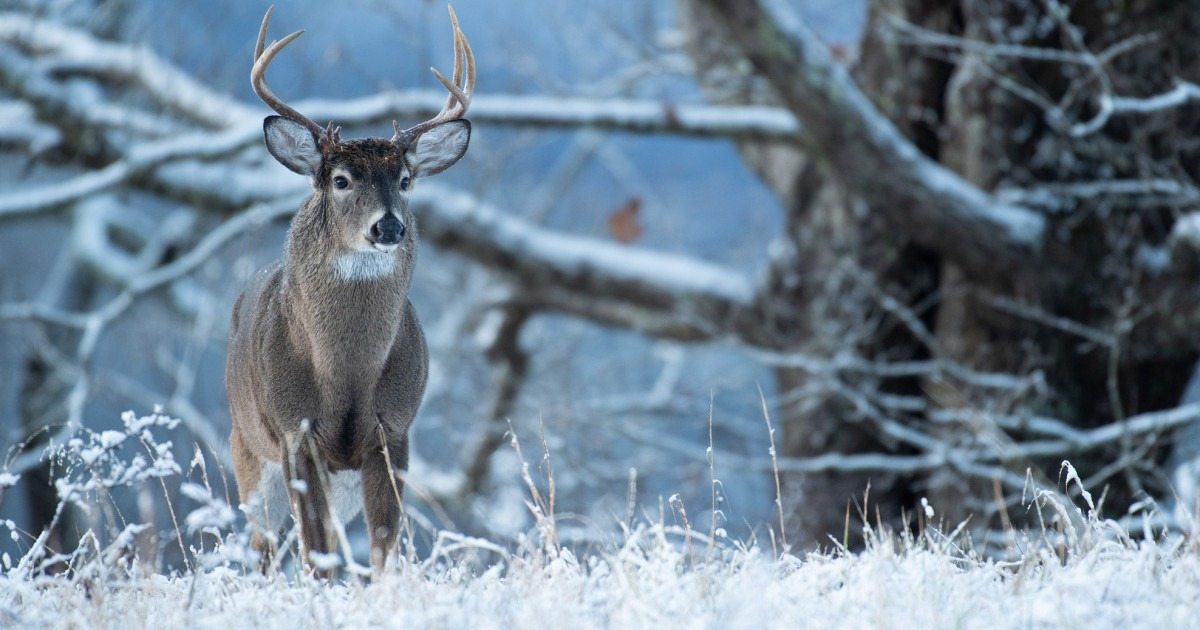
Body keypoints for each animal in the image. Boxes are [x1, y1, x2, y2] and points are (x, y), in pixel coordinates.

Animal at [225, 6, 472, 573]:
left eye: (405, 180)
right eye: (340, 179)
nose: (389, 226)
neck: (345, 377)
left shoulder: (393, 430)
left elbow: (382, 545)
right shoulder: (295, 434)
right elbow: (315, 553)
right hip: (246, 448)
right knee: (263, 546)